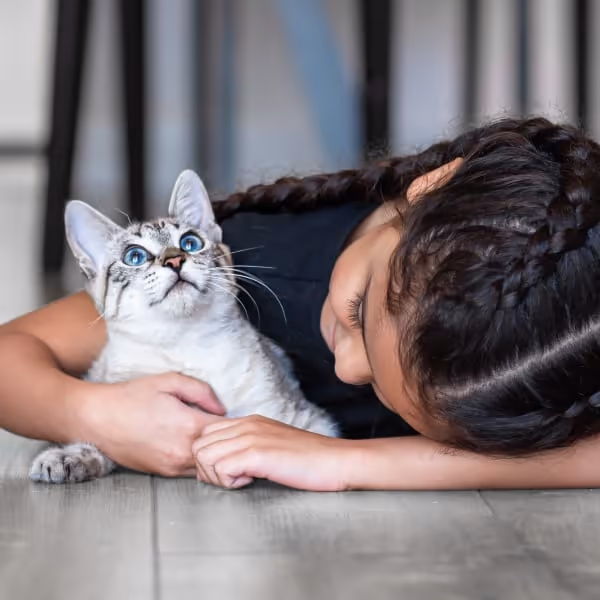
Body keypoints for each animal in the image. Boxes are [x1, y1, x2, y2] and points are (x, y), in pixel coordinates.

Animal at [30, 170, 338, 484]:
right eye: (135, 256)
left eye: (190, 243)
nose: (175, 259)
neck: (185, 345)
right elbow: (101, 440)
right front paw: (67, 457)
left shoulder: (308, 418)